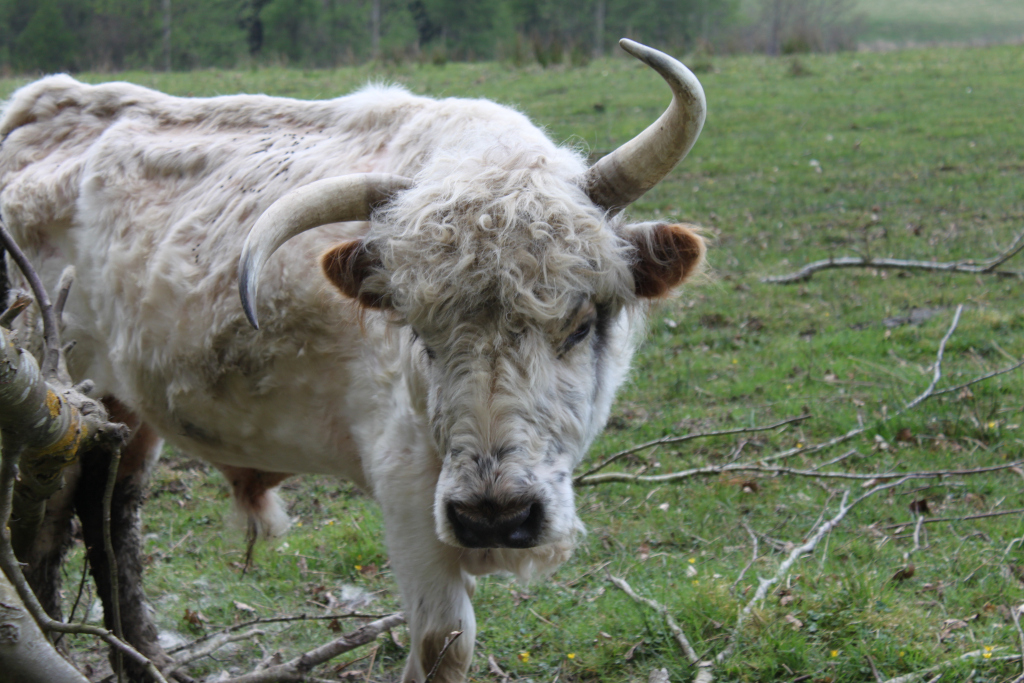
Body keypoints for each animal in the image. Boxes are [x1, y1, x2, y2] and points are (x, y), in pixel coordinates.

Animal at [0, 39, 706, 682]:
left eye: (581, 324)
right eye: (420, 333)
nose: (495, 515)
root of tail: (37, 110)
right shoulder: (406, 485)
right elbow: (444, 641)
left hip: (118, 407)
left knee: (110, 512)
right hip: (50, 394)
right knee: (45, 525)